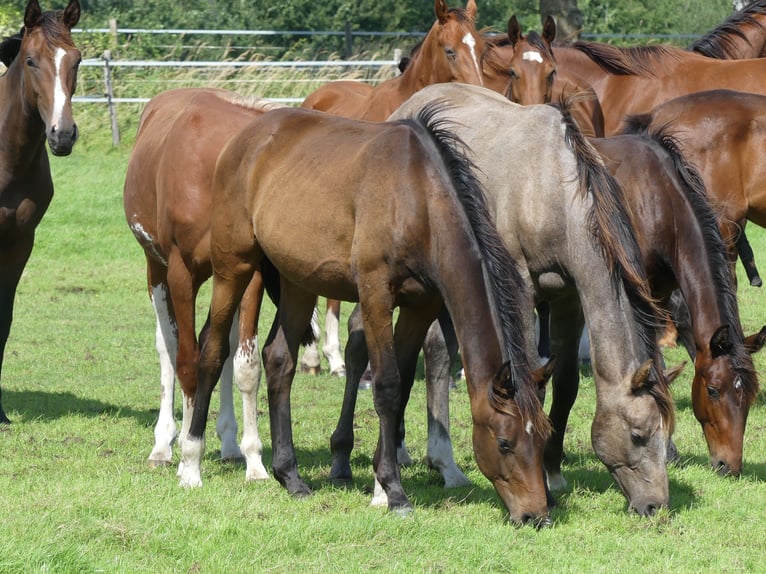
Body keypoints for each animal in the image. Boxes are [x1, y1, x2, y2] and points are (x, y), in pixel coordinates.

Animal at [124, 86, 286, 482]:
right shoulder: (182, 274)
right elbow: (186, 361)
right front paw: (187, 458)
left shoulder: (249, 275)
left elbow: (244, 365)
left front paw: (255, 461)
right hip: (157, 270)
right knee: (168, 346)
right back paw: (164, 444)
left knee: (220, 346)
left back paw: (228, 443)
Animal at [178, 106, 552, 528]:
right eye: (504, 442)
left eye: (544, 439)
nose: (537, 515)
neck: (417, 198)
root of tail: (245, 137)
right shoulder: (375, 294)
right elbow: (387, 386)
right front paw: (395, 492)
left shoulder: (419, 306)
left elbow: (402, 387)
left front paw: (379, 488)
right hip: (234, 267)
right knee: (211, 351)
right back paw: (190, 464)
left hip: (298, 282)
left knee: (279, 361)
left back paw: (290, 476)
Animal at [384, 84, 680, 516]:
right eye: (639, 434)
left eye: (666, 433)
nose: (656, 506)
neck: (552, 188)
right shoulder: (520, 290)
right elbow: (531, 388)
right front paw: (544, 486)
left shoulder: (571, 296)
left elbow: (567, 385)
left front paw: (553, 471)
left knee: (437, 353)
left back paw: (445, 466)